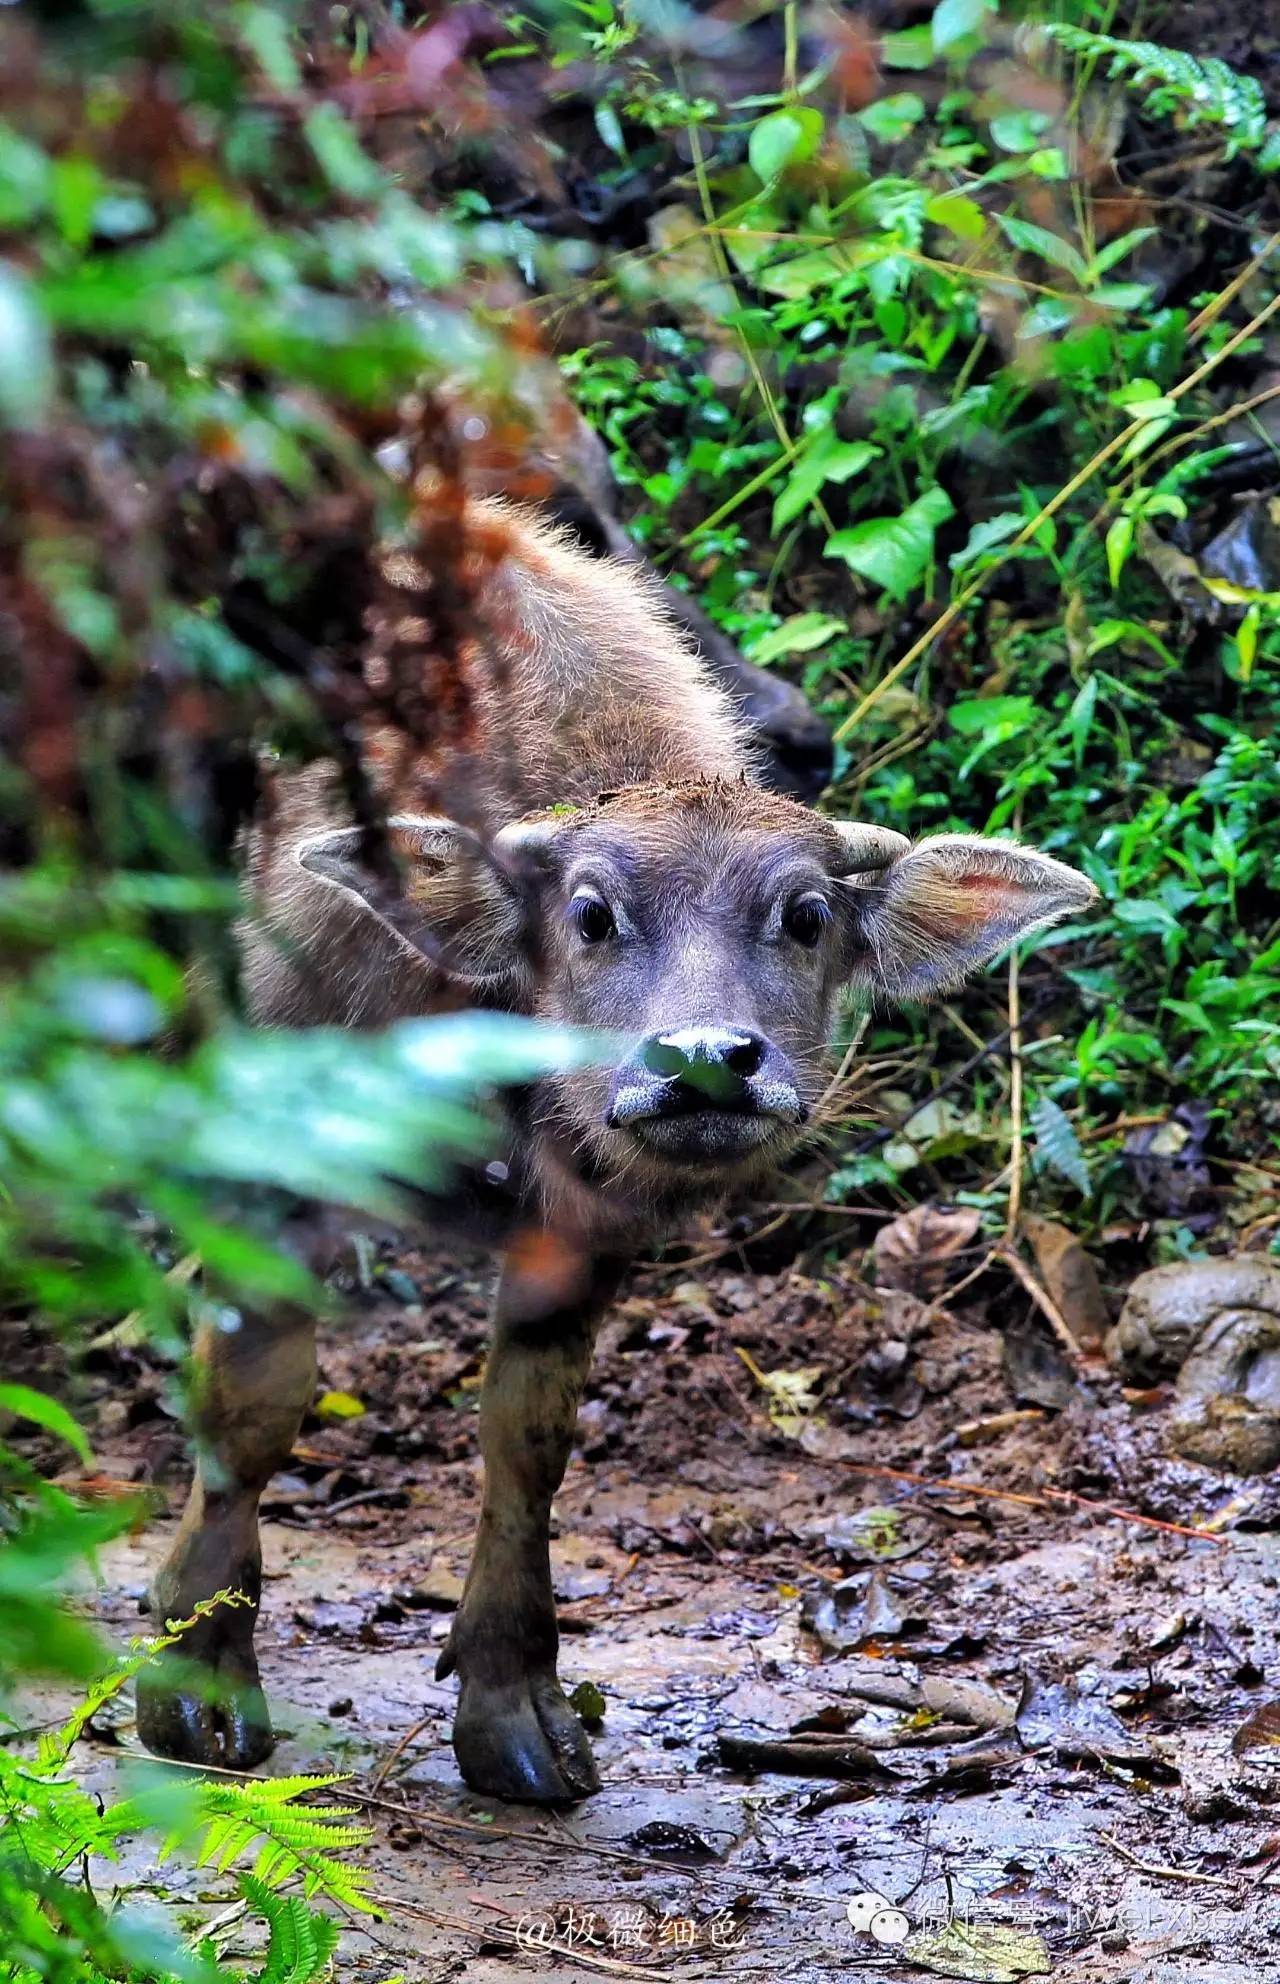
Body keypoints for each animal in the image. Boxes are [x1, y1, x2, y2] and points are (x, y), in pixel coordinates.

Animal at [134, 496, 1087, 1801]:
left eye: (803, 915)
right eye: (589, 914)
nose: (704, 1057)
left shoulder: (583, 1225)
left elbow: (528, 1438)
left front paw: (511, 1705)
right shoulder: (270, 1168)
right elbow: (252, 1407)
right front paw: (199, 1678)